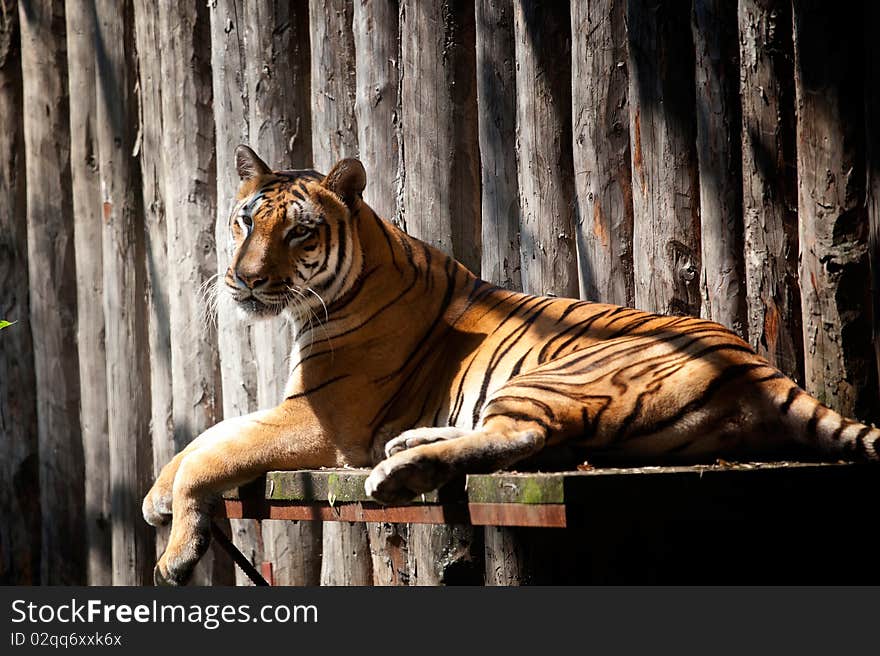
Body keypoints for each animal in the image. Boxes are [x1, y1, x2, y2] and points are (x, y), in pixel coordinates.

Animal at [144, 145, 880, 584]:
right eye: (245, 221)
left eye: (299, 232)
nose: (242, 279)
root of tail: (759, 363)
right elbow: (209, 434)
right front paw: (157, 496)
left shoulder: (321, 422)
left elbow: (216, 446)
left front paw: (174, 548)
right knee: (521, 441)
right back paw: (410, 444)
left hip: (555, 375)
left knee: (523, 436)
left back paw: (397, 471)